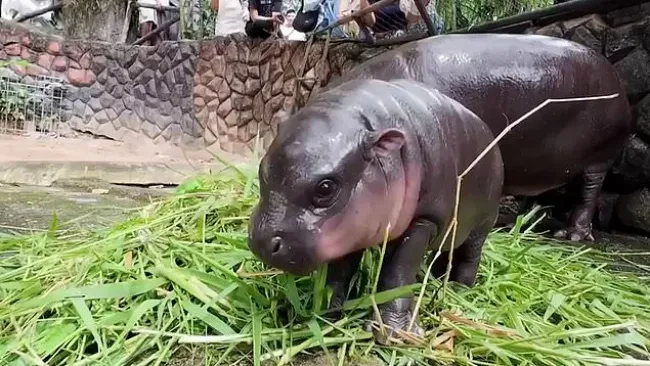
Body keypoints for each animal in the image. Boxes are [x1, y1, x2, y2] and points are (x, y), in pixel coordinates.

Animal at [246, 78, 504, 344]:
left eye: (326, 188)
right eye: (262, 168)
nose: (262, 241)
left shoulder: (423, 221)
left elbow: (397, 273)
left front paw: (393, 333)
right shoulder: (348, 227)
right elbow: (339, 272)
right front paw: (328, 315)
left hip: (483, 222)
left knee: (470, 255)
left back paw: (459, 290)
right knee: (448, 250)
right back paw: (440, 277)